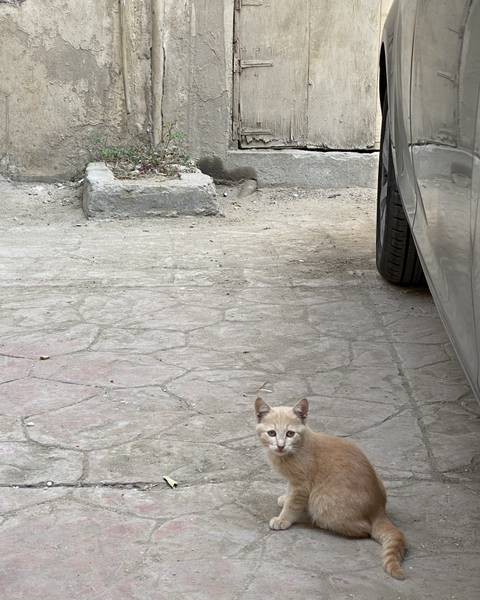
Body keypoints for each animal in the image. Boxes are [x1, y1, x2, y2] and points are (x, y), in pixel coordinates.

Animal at [253, 396, 406, 580]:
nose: (280, 446)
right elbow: (289, 494)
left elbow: (293, 504)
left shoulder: (302, 484)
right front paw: (284, 498)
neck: (298, 448)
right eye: (272, 433)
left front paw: (283, 519)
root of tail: (379, 509)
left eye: (290, 434)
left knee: (365, 530)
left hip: (323, 504)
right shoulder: (294, 482)